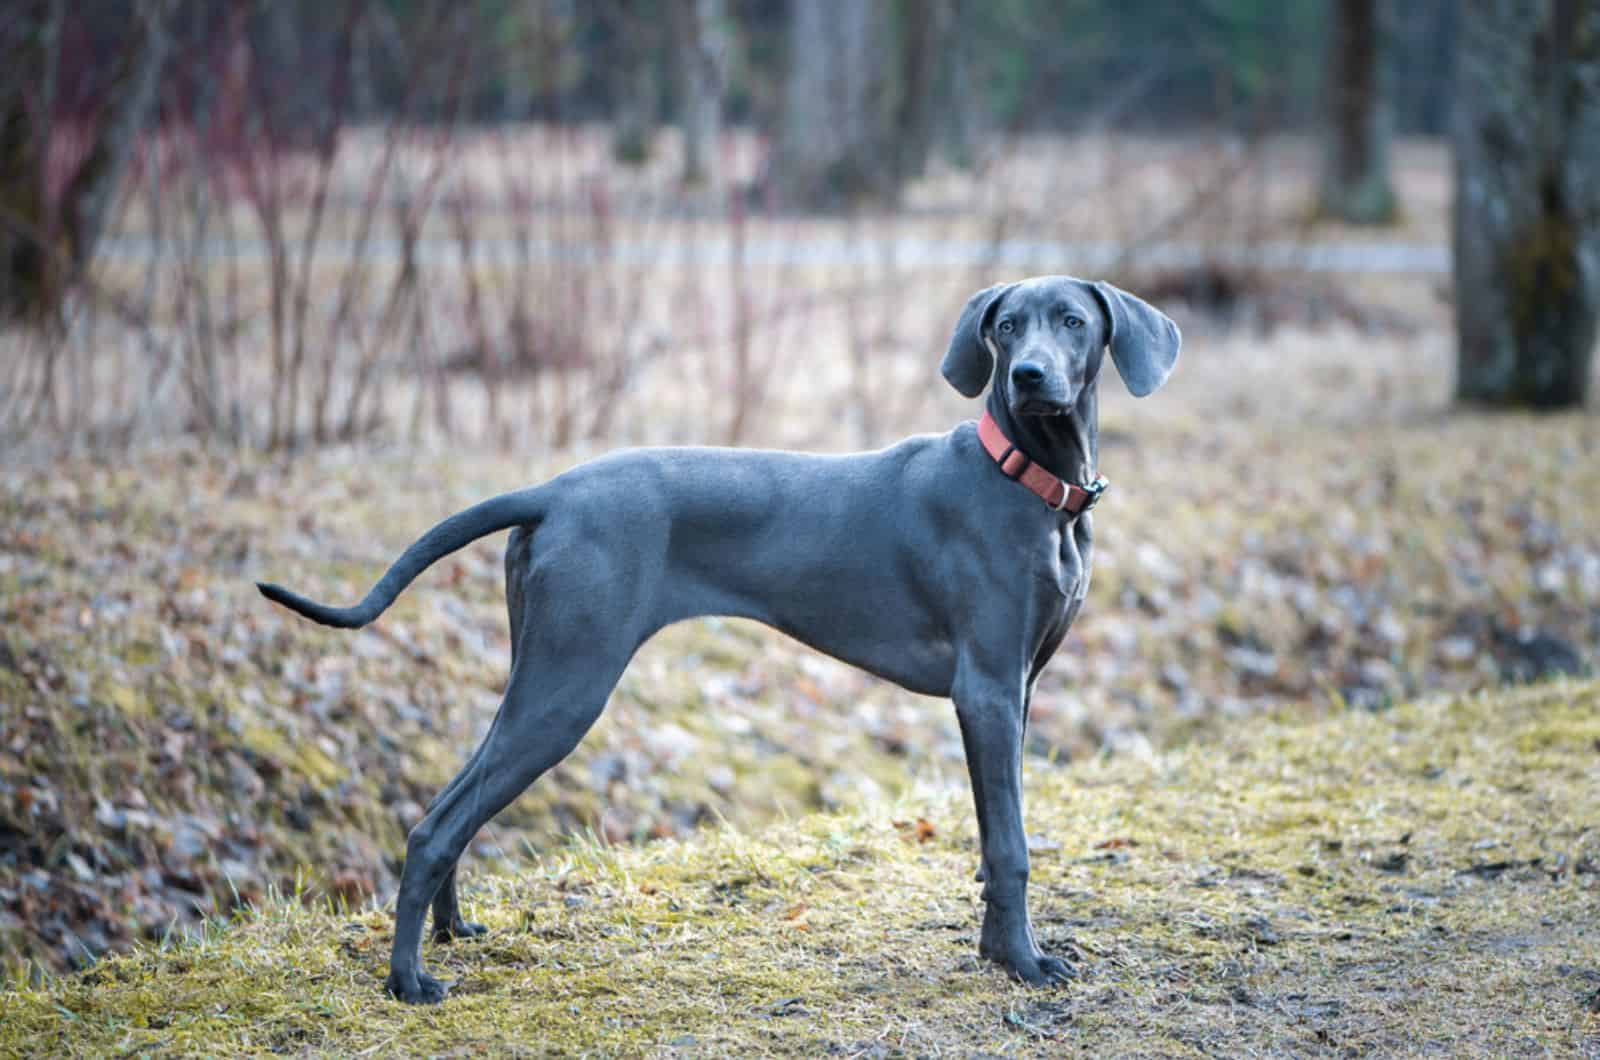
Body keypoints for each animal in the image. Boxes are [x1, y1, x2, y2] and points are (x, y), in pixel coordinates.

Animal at [259, 275, 1177, 1005]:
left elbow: (993, 840)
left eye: (1071, 321)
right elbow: (1012, 845)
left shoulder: (1016, 691)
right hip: (570, 683)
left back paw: (453, 932)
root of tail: (552, 489)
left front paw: (995, 951)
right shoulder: (986, 689)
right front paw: (1023, 963)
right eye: (1006, 326)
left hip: (540, 666)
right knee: (436, 826)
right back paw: (408, 979)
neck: (1027, 481)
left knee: (454, 802)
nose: (1029, 377)